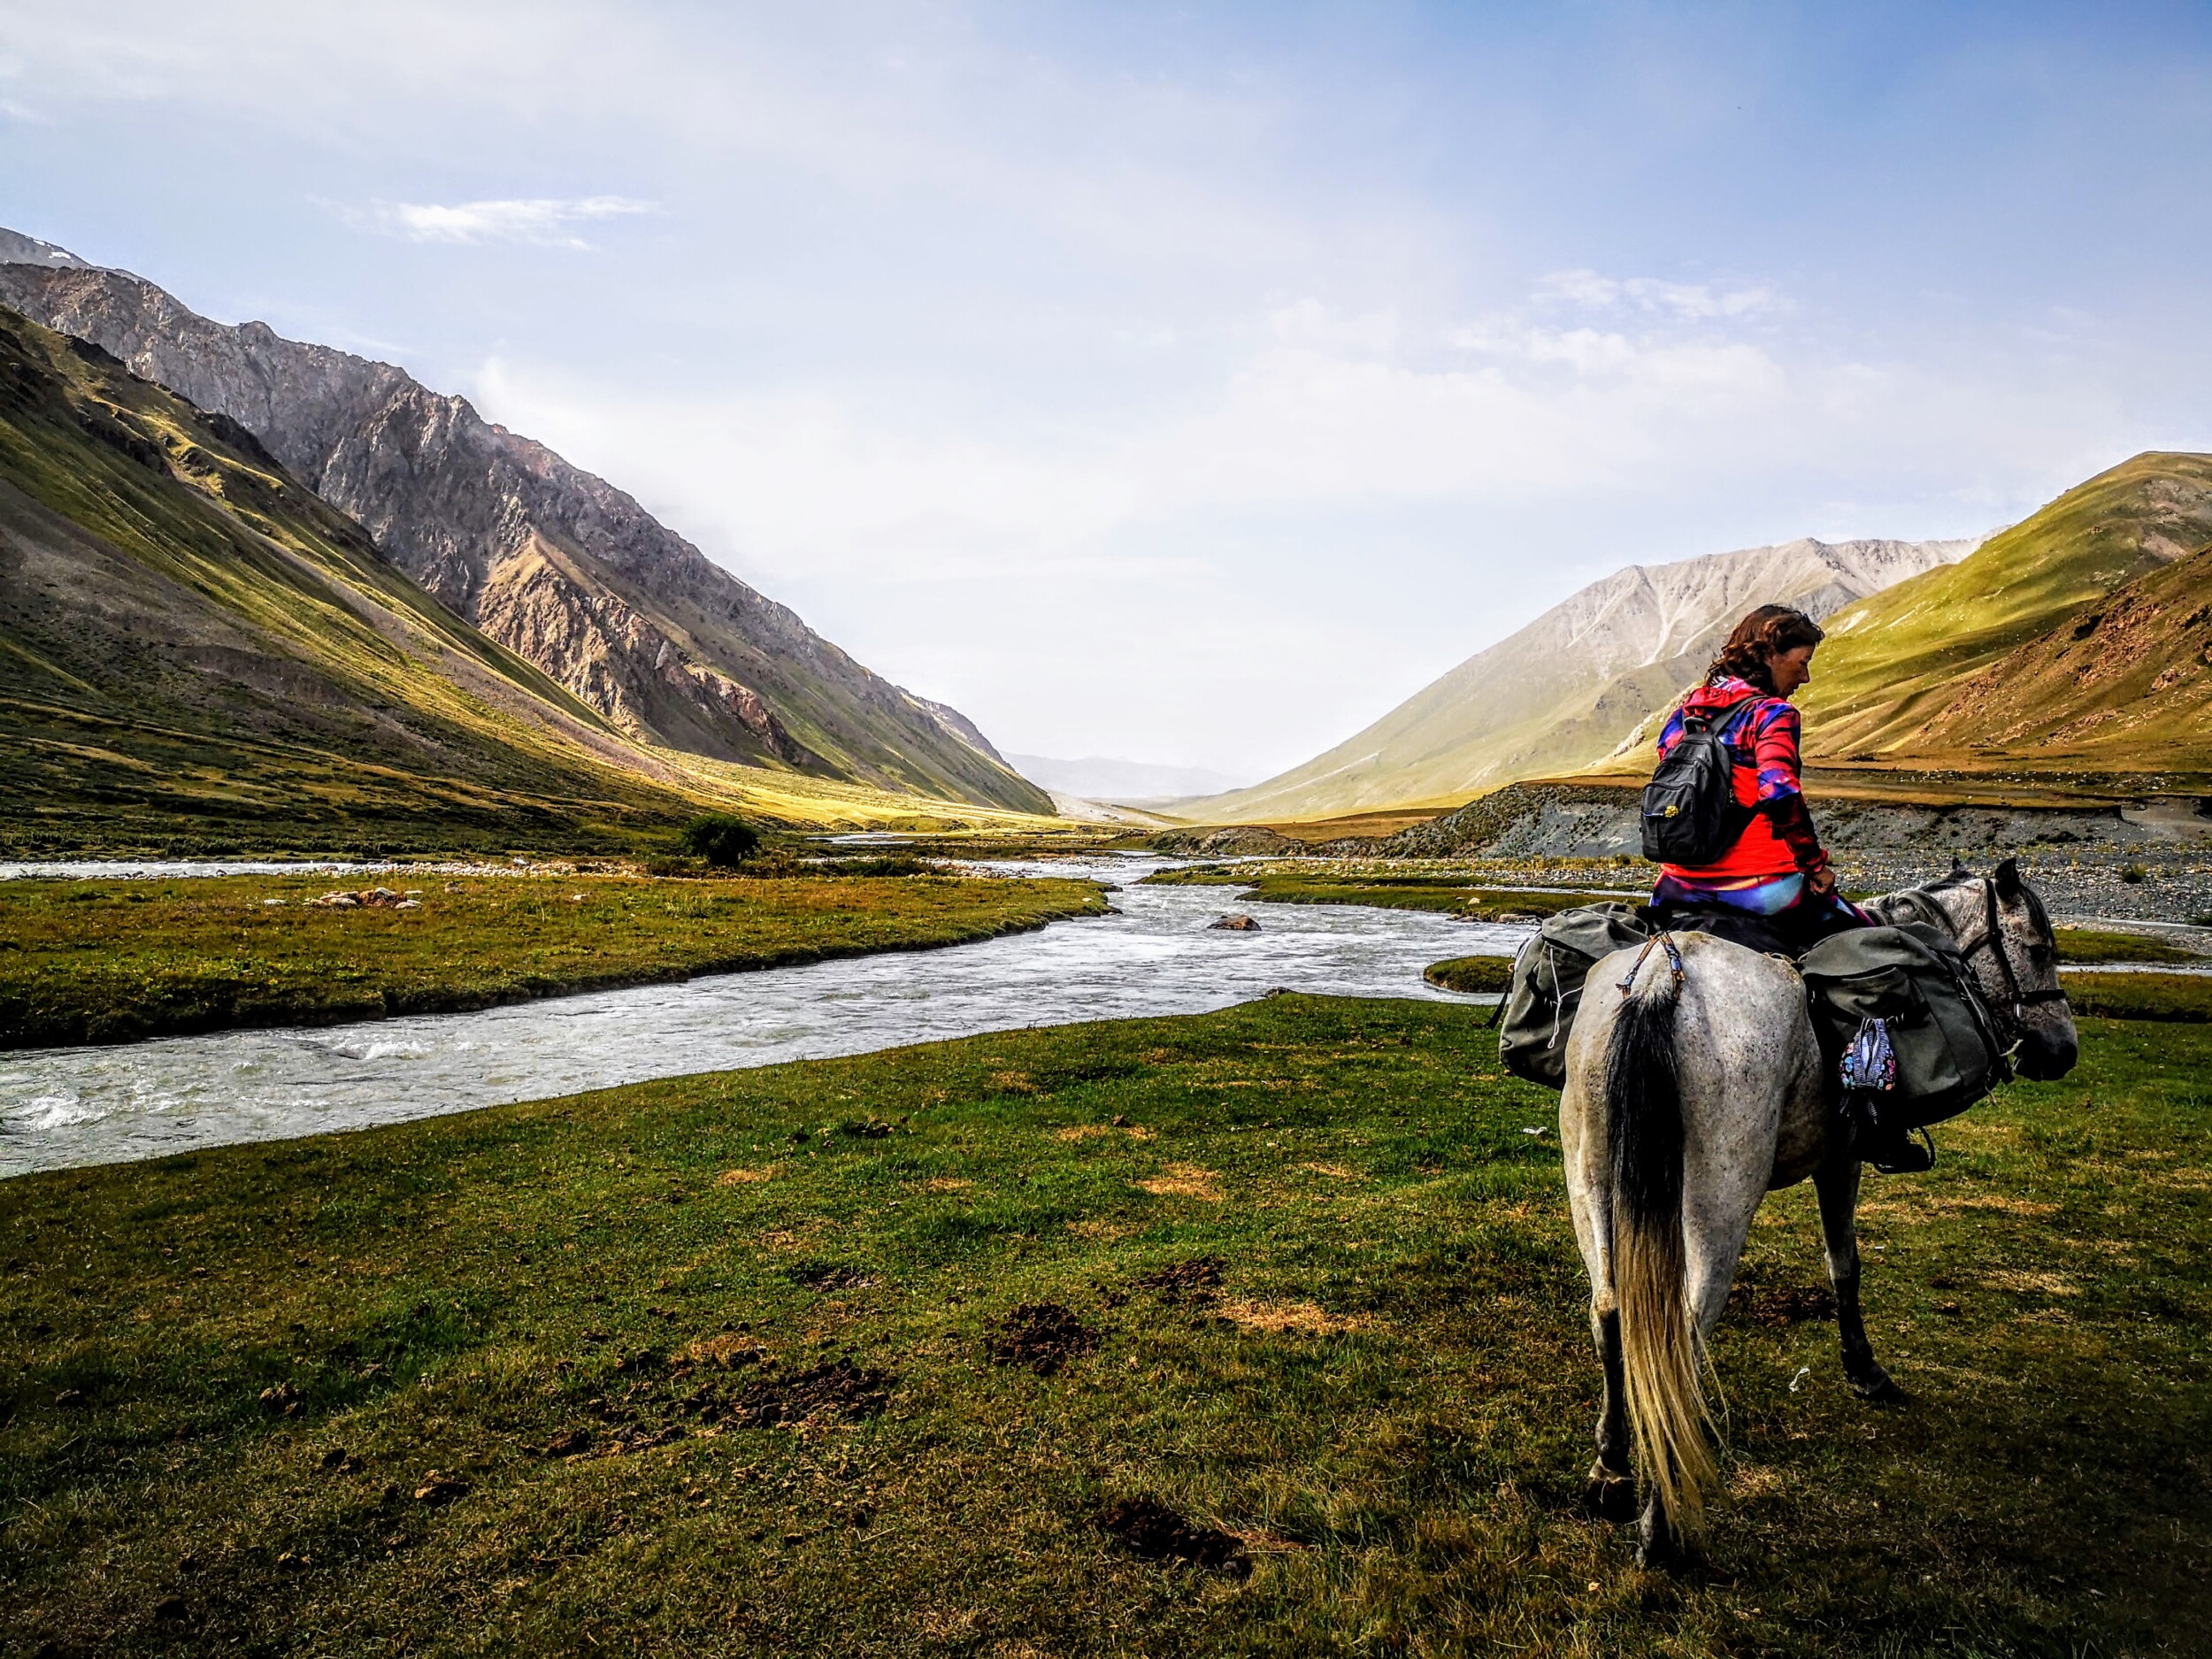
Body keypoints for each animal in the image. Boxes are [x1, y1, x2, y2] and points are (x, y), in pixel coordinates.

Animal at [1557, 863, 2070, 1566]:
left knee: (1608, 1313)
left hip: (1590, 1180)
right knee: (1681, 1335)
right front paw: (1866, 1370)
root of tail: (1663, 977)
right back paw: (1659, 1526)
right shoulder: (1844, 1158)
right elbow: (1844, 1266)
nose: (2063, 1047)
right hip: (1716, 1203)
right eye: (2040, 949)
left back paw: (1610, 1472)